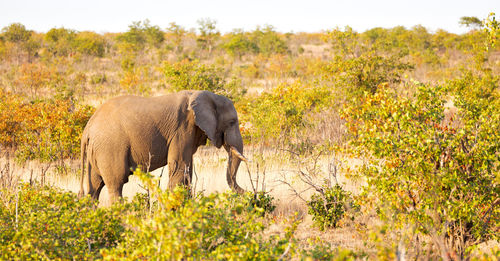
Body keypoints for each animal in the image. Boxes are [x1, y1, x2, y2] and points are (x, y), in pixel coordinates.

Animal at [78, 90, 248, 202]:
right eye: (232, 122)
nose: (248, 193)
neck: (206, 95)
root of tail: (87, 129)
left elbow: (187, 169)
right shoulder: (182, 130)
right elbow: (179, 167)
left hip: (96, 151)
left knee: (95, 187)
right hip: (110, 148)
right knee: (116, 184)